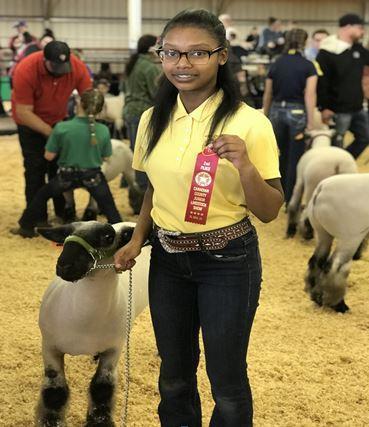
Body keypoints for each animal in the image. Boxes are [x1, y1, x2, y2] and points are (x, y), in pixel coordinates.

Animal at [34, 222, 149, 426]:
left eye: (108, 237)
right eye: (66, 235)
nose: (64, 265)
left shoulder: (113, 350)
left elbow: (102, 388)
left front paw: (100, 421)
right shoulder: (49, 346)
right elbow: (55, 392)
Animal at [302, 174, 368, 314]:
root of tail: (321, 189)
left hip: (323, 233)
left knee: (317, 261)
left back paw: (315, 295)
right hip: (350, 238)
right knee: (334, 267)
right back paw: (339, 305)